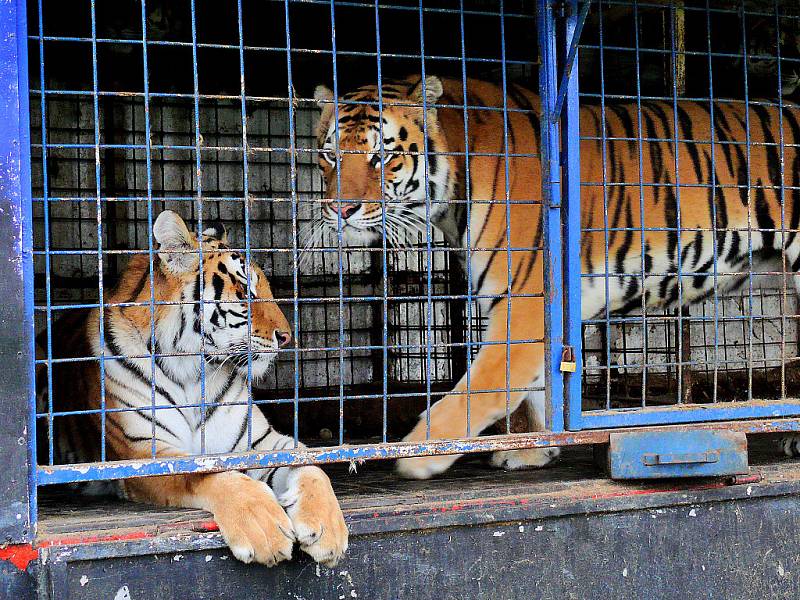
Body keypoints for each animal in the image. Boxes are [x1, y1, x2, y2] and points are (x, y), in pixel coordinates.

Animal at [40, 211, 346, 568]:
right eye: (245, 291)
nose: (287, 337)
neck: (192, 374)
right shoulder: (147, 455)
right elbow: (207, 473)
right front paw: (265, 528)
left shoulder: (262, 442)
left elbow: (310, 465)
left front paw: (328, 530)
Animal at [310, 74, 800, 478]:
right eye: (329, 156)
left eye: (382, 157)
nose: (340, 208)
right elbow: (538, 391)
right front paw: (536, 450)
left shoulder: (523, 303)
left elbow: (484, 386)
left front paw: (417, 452)